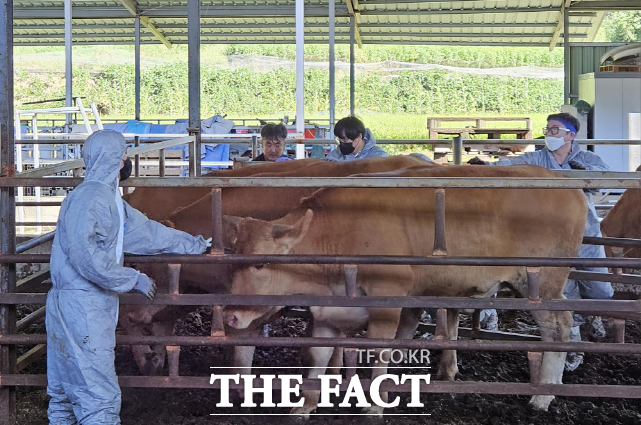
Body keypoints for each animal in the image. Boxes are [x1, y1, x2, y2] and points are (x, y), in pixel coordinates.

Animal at [221, 165, 584, 414]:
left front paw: (374, 405)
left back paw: (543, 393)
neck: (339, 233)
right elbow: (317, 359)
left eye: (260, 265)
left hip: (543, 283)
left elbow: (380, 352)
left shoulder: (387, 302)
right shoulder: (326, 311)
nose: (231, 316)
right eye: (233, 259)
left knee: (558, 327)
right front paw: (305, 406)